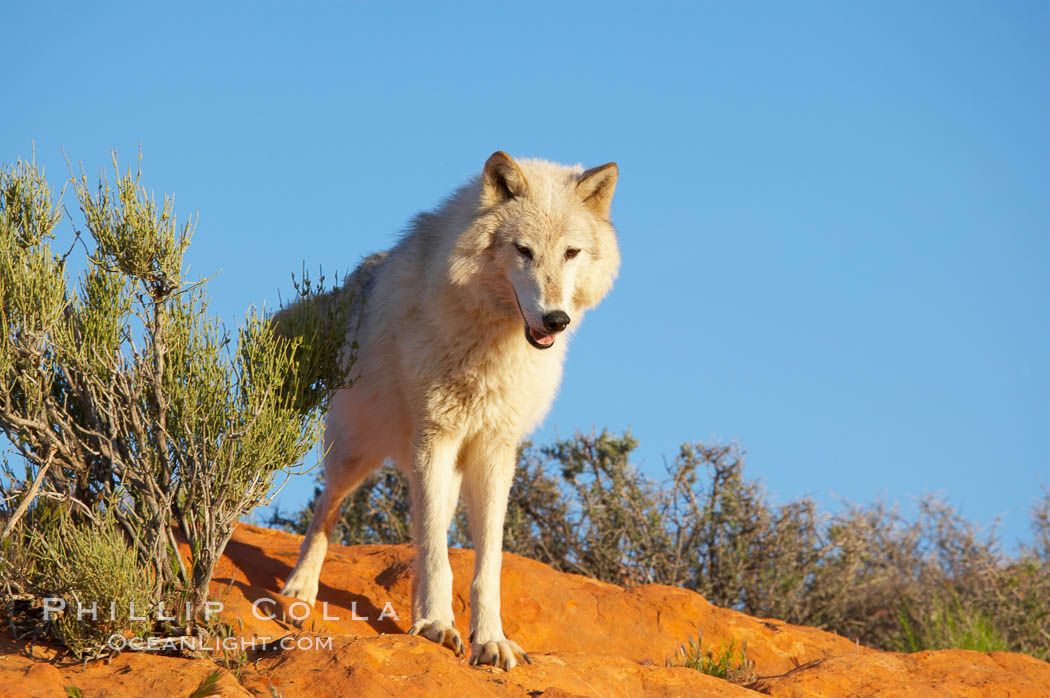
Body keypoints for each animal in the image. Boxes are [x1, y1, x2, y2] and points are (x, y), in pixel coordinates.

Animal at [279, 151, 617, 671]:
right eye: (523, 251)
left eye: (571, 253)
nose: (556, 319)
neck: (493, 346)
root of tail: (362, 274)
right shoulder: (434, 437)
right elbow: (439, 555)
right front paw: (437, 626)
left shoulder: (496, 450)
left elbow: (485, 563)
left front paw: (489, 639)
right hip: (357, 452)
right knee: (327, 513)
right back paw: (299, 591)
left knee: (421, 534)